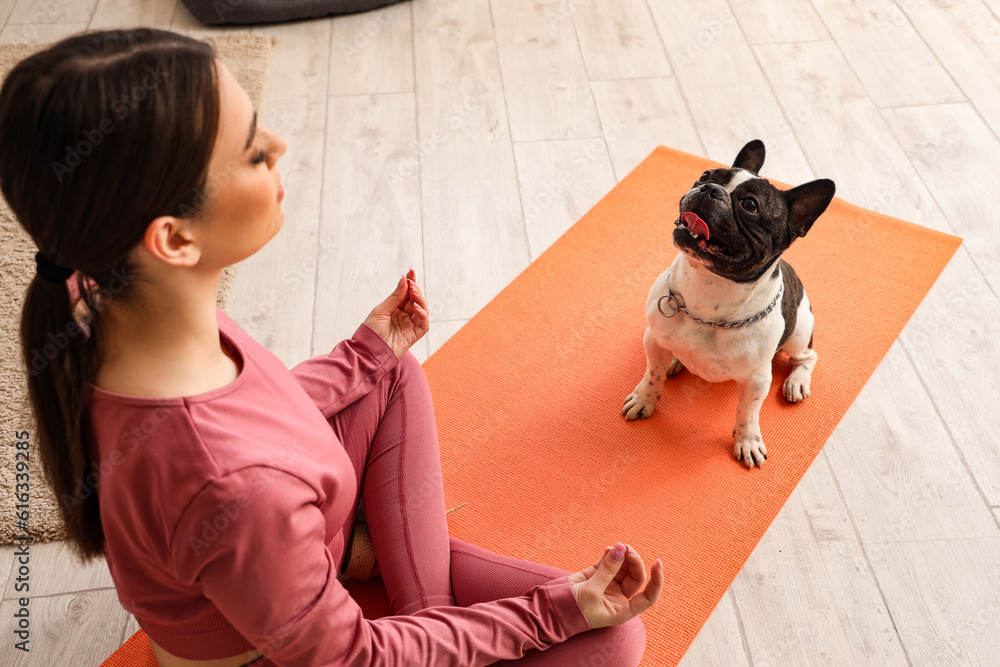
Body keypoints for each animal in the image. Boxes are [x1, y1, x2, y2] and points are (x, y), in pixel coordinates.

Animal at [620, 138, 832, 468]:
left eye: (750, 205)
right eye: (705, 176)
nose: (710, 189)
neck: (709, 288)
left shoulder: (757, 379)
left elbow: (748, 412)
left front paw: (747, 441)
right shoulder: (653, 338)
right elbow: (652, 374)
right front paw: (645, 399)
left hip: (798, 334)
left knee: (808, 356)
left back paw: (796, 382)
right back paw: (674, 361)